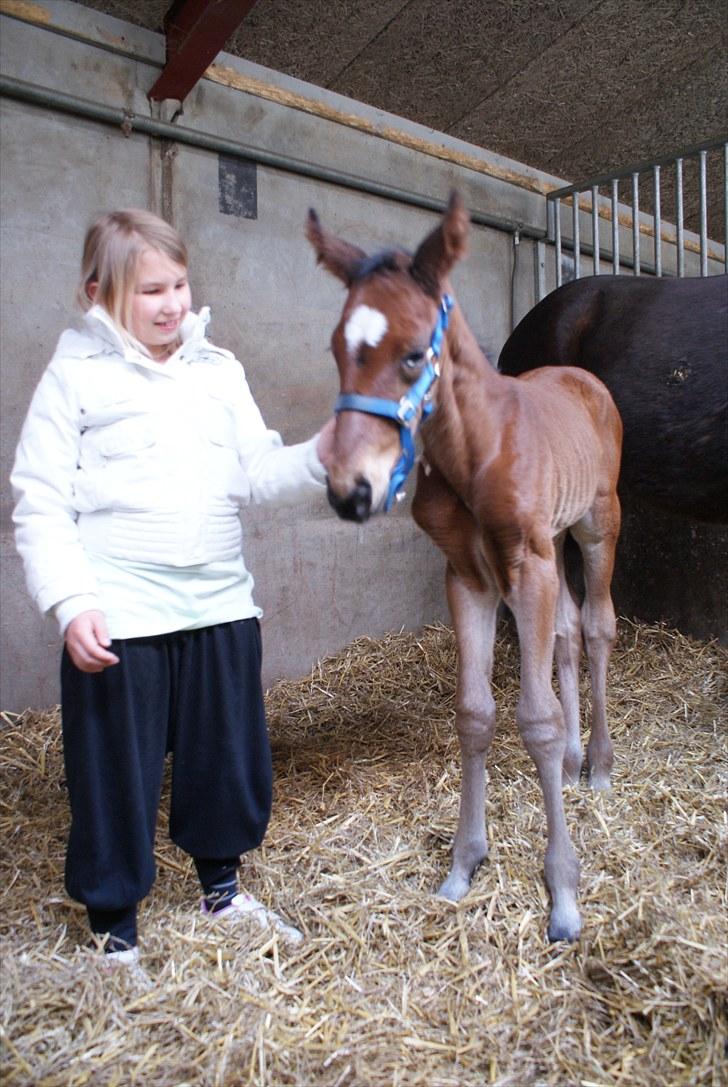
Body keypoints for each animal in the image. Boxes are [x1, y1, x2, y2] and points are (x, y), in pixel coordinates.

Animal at [310, 191, 625, 939]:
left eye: (412, 353)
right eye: (337, 347)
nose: (349, 489)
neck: (473, 451)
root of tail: (581, 378)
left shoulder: (526, 565)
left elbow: (533, 718)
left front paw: (563, 894)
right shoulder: (470, 576)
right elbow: (475, 713)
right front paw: (463, 864)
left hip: (596, 524)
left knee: (598, 625)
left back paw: (598, 765)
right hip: (555, 542)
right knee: (567, 630)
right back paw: (577, 759)